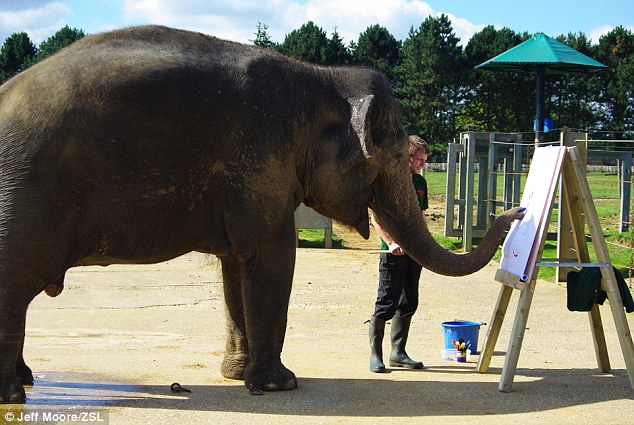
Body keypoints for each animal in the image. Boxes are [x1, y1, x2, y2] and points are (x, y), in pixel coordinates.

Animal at [0, 23, 524, 400]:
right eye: (396, 156)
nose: (517, 212)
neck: (318, 74)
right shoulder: (260, 157)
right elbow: (272, 255)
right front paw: (280, 384)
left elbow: (237, 264)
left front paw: (237, 376)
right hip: (26, 191)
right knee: (16, 280)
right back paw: (14, 391)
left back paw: (26, 380)